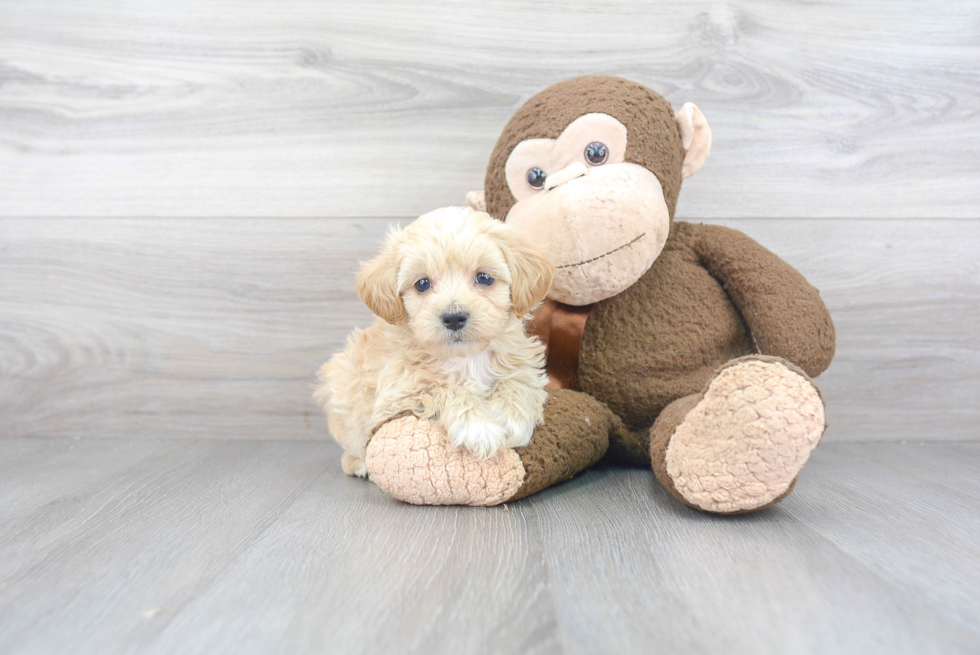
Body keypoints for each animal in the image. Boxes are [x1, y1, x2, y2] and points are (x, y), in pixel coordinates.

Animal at [318, 208, 556, 480]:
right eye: (422, 283)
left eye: (484, 278)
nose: (454, 317)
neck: (465, 358)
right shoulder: (395, 398)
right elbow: (444, 388)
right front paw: (478, 427)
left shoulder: (523, 361)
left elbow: (518, 381)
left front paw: (509, 416)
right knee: (352, 449)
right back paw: (359, 464)